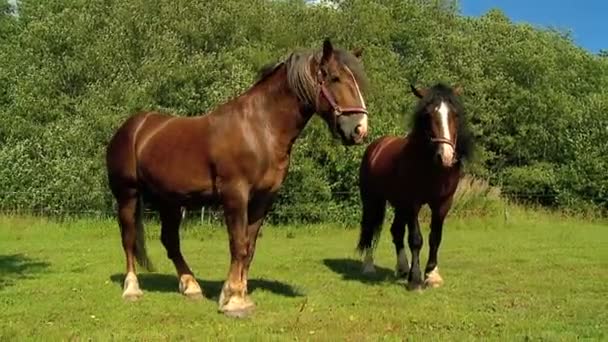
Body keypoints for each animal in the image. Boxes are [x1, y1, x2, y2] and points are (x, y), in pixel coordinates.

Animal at [106, 38, 368, 316]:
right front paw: (233, 300)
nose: (359, 129)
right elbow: (238, 244)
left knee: (170, 241)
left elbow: (249, 247)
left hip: (170, 202)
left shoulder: (263, 199)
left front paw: (240, 293)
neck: (260, 129)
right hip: (128, 195)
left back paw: (191, 286)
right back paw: (132, 289)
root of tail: (133, 127)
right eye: (335, 78)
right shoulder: (235, 195)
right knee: (129, 238)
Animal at [354, 82, 472, 292]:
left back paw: (402, 268)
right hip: (373, 201)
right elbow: (416, 239)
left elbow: (435, 238)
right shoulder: (413, 203)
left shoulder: (442, 204)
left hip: (400, 205)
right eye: (427, 115)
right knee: (371, 229)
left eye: (455, 115)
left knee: (396, 232)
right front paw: (416, 278)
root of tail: (376, 146)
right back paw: (369, 266)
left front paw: (432, 275)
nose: (446, 156)